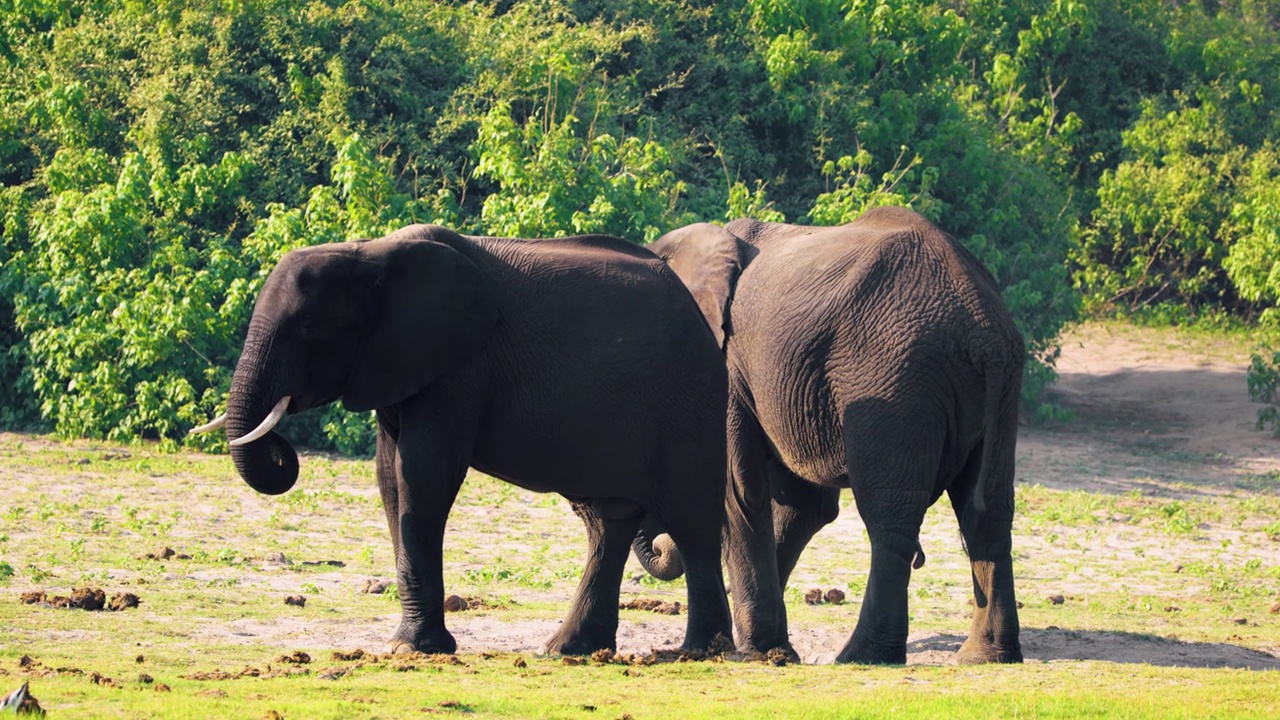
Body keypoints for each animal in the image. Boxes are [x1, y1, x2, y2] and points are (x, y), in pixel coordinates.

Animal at [186, 224, 732, 655]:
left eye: (307, 328)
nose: (285, 450)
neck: (370, 253)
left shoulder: (460, 364)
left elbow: (423, 471)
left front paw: (413, 649)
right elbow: (390, 478)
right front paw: (412, 645)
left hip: (690, 396)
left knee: (691, 521)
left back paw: (702, 651)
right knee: (608, 521)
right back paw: (567, 650)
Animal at [645, 206, 1024, 661]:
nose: (660, 545)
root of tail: (983, 330)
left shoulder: (731, 366)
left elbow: (739, 490)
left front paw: (761, 651)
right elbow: (804, 506)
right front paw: (774, 652)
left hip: (893, 379)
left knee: (890, 517)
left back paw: (862, 656)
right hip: (1000, 389)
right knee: (988, 515)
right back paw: (985, 656)